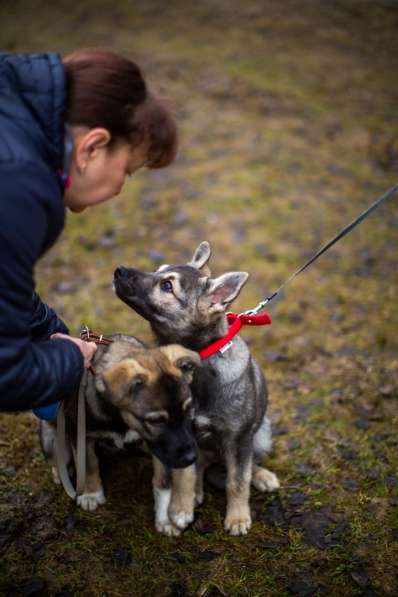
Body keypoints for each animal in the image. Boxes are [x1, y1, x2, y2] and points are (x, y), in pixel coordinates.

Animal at [113, 242, 278, 536]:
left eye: (167, 286)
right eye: (157, 270)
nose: (118, 270)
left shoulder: (238, 439)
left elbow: (238, 480)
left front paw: (237, 517)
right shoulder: (181, 431)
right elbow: (185, 472)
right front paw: (181, 507)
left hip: (261, 433)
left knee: (249, 464)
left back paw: (262, 476)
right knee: (200, 465)